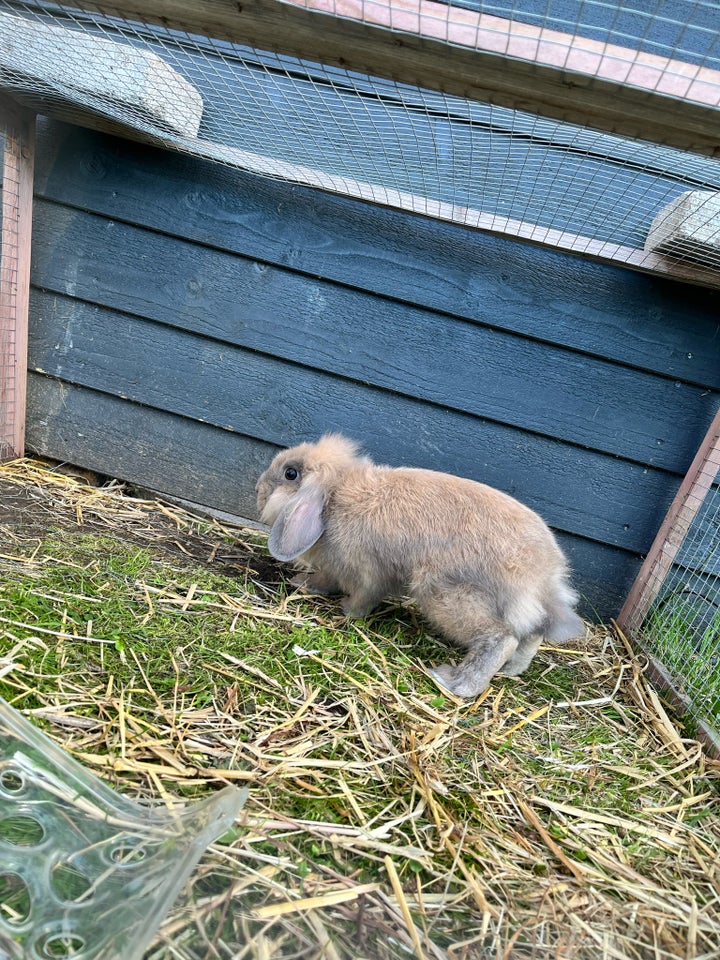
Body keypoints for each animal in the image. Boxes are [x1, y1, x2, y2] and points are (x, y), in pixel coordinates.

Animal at [256, 436, 584, 696]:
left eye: (290, 473)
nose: (259, 487)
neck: (335, 496)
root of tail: (543, 571)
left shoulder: (366, 573)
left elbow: (362, 596)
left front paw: (346, 612)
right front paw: (304, 583)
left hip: (448, 594)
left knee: (501, 639)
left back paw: (454, 682)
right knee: (531, 637)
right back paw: (511, 670)